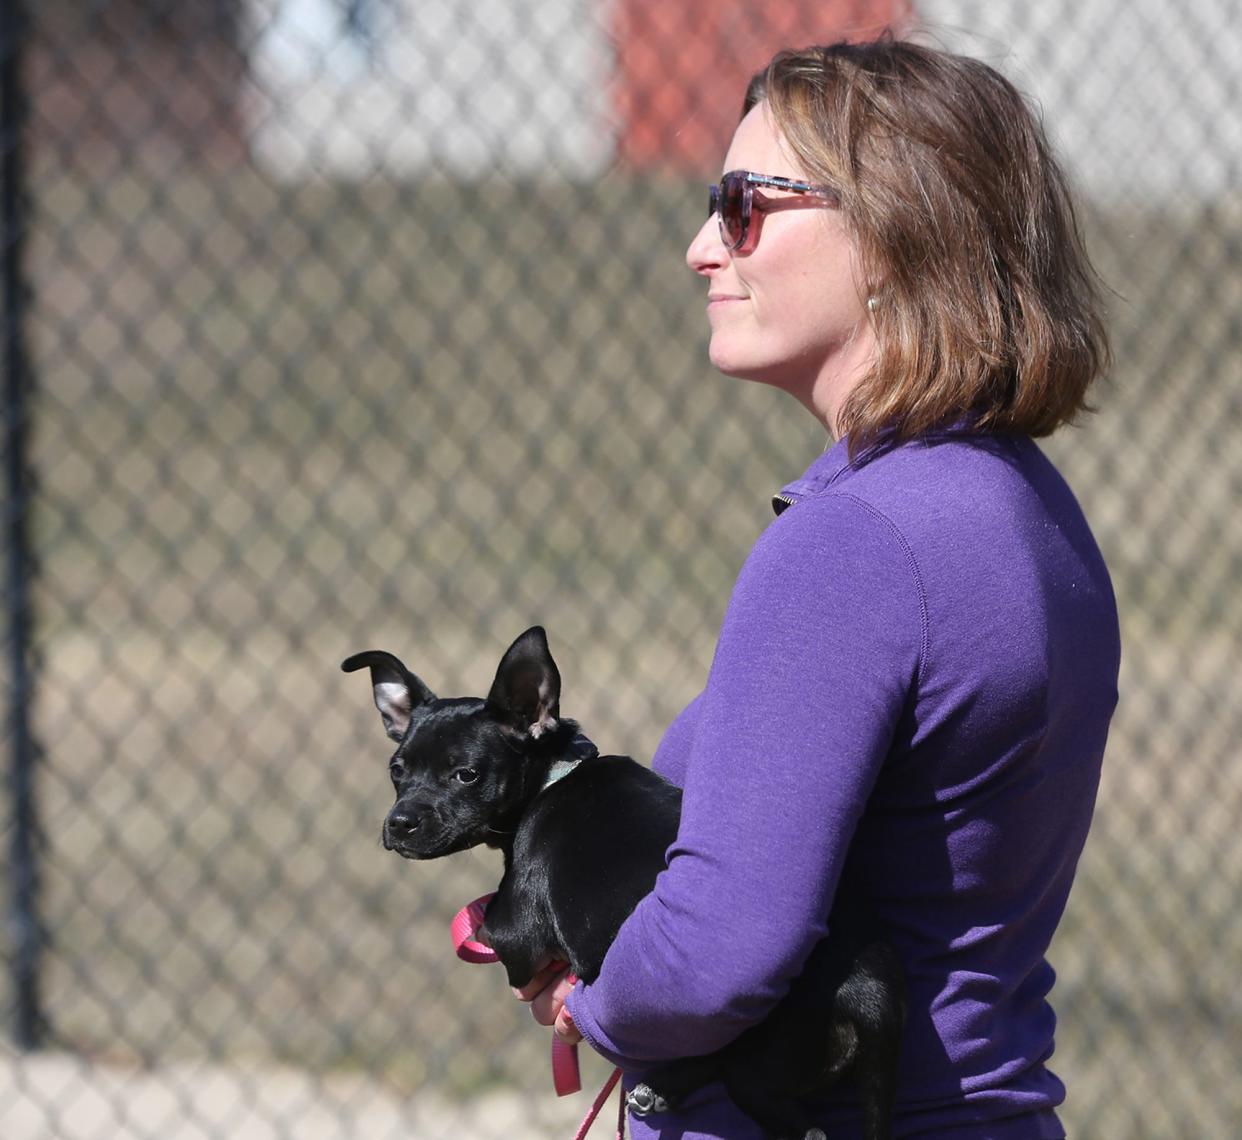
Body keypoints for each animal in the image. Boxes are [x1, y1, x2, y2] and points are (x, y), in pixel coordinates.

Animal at [345, 628, 909, 1137]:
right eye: (397, 771)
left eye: (466, 774)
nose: (398, 824)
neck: (555, 772)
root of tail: (870, 991)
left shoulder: (515, 934)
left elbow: (495, 931)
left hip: (762, 1057)